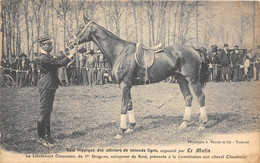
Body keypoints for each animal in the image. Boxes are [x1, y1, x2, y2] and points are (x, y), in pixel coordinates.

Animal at [67, 14, 209, 139]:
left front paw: (121, 131)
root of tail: (193, 49)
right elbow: (129, 104)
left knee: (200, 97)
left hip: (192, 79)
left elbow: (123, 106)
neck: (120, 51)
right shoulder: (126, 85)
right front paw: (131, 127)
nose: (69, 42)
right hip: (181, 79)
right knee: (188, 97)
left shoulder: (124, 84)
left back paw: (202, 124)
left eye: (80, 27)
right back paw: (184, 123)